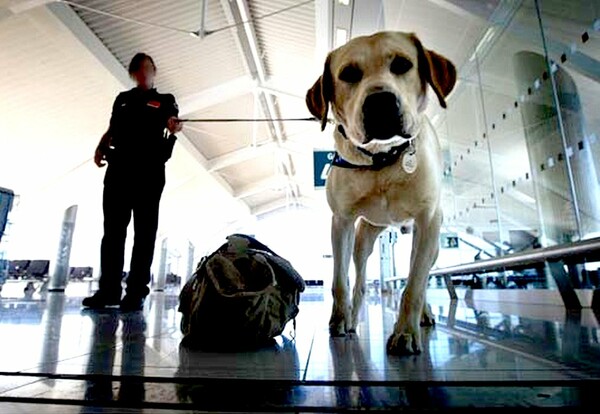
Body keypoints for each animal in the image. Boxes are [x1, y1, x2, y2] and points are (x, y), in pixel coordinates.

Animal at [308, 33, 458, 356]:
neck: (382, 159)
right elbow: (339, 282)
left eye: (402, 64)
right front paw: (340, 320)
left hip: (431, 243)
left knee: (420, 272)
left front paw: (405, 332)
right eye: (348, 74)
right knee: (360, 280)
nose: (380, 102)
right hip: (363, 238)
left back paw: (424, 314)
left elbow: (414, 285)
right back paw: (353, 318)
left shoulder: (428, 220)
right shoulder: (341, 222)